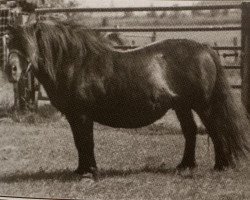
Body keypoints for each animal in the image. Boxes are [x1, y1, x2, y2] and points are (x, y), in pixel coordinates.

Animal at [4, 20, 249, 177]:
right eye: (8, 44)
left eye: (27, 44)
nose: (11, 70)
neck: (77, 64)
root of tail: (205, 49)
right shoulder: (74, 117)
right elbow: (79, 142)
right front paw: (81, 170)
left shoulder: (83, 116)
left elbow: (86, 142)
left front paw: (89, 173)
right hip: (182, 105)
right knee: (191, 131)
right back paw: (184, 166)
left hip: (203, 105)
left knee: (216, 130)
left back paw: (220, 166)